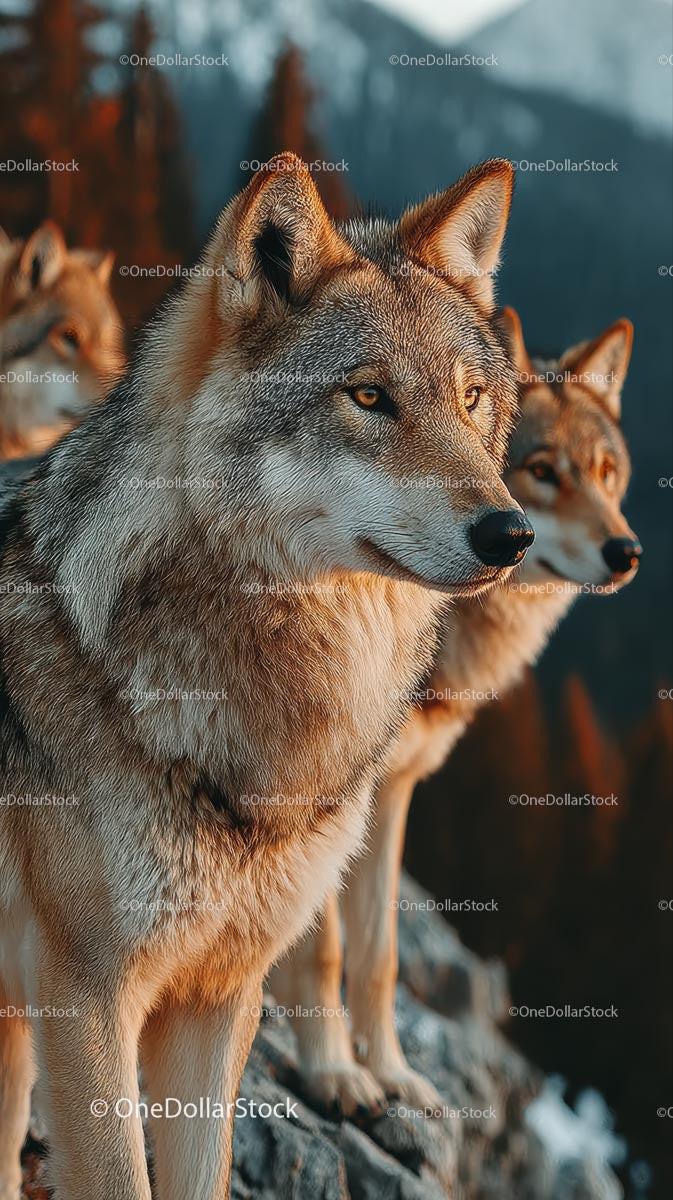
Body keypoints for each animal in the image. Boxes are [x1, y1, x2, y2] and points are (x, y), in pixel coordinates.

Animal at [273, 307, 640, 1115]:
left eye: (605, 474)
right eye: (543, 472)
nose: (625, 552)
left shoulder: (394, 793)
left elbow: (378, 955)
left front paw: (392, 1072)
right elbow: (325, 949)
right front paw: (333, 1073)